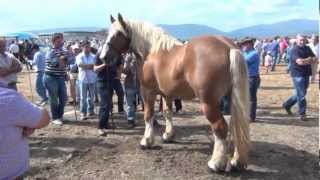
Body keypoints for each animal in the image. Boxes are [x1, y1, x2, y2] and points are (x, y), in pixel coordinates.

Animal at [99, 13, 250, 172]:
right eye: (108, 32)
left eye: (118, 33)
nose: (103, 57)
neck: (151, 51)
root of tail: (228, 47)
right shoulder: (167, 94)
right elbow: (167, 113)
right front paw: (168, 135)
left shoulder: (147, 91)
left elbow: (148, 115)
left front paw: (146, 141)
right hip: (232, 98)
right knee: (235, 125)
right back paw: (236, 160)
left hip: (209, 102)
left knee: (220, 127)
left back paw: (215, 163)